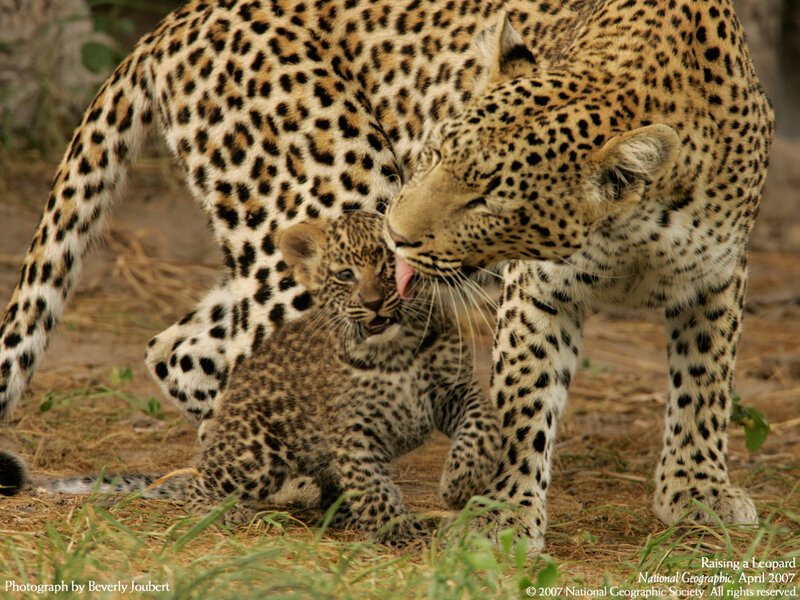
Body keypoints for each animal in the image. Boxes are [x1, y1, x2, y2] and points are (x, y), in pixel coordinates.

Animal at [1, 212, 501, 549]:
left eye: (389, 268)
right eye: (345, 275)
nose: (376, 303)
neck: (394, 353)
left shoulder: (455, 390)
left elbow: (482, 422)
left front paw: (461, 479)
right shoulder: (353, 431)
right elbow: (375, 489)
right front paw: (403, 533)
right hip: (258, 450)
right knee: (202, 484)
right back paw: (224, 513)